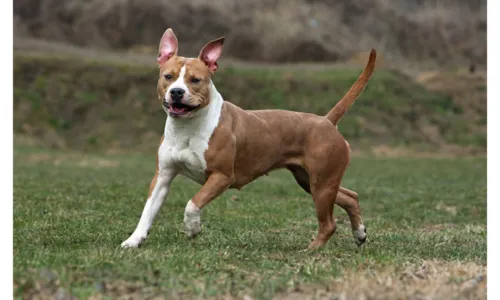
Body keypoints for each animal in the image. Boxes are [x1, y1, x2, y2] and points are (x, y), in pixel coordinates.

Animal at [122, 28, 376, 250]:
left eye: (195, 80)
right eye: (168, 76)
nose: (176, 92)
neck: (187, 127)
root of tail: (326, 121)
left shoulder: (222, 176)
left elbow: (192, 203)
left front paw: (193, 228)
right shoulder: (163, 177)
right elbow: (147, 211)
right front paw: (134, 240)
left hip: (321, 185)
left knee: (329, 223)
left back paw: (312, 249)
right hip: (311, 181)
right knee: (350, 197)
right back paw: (359, 234)